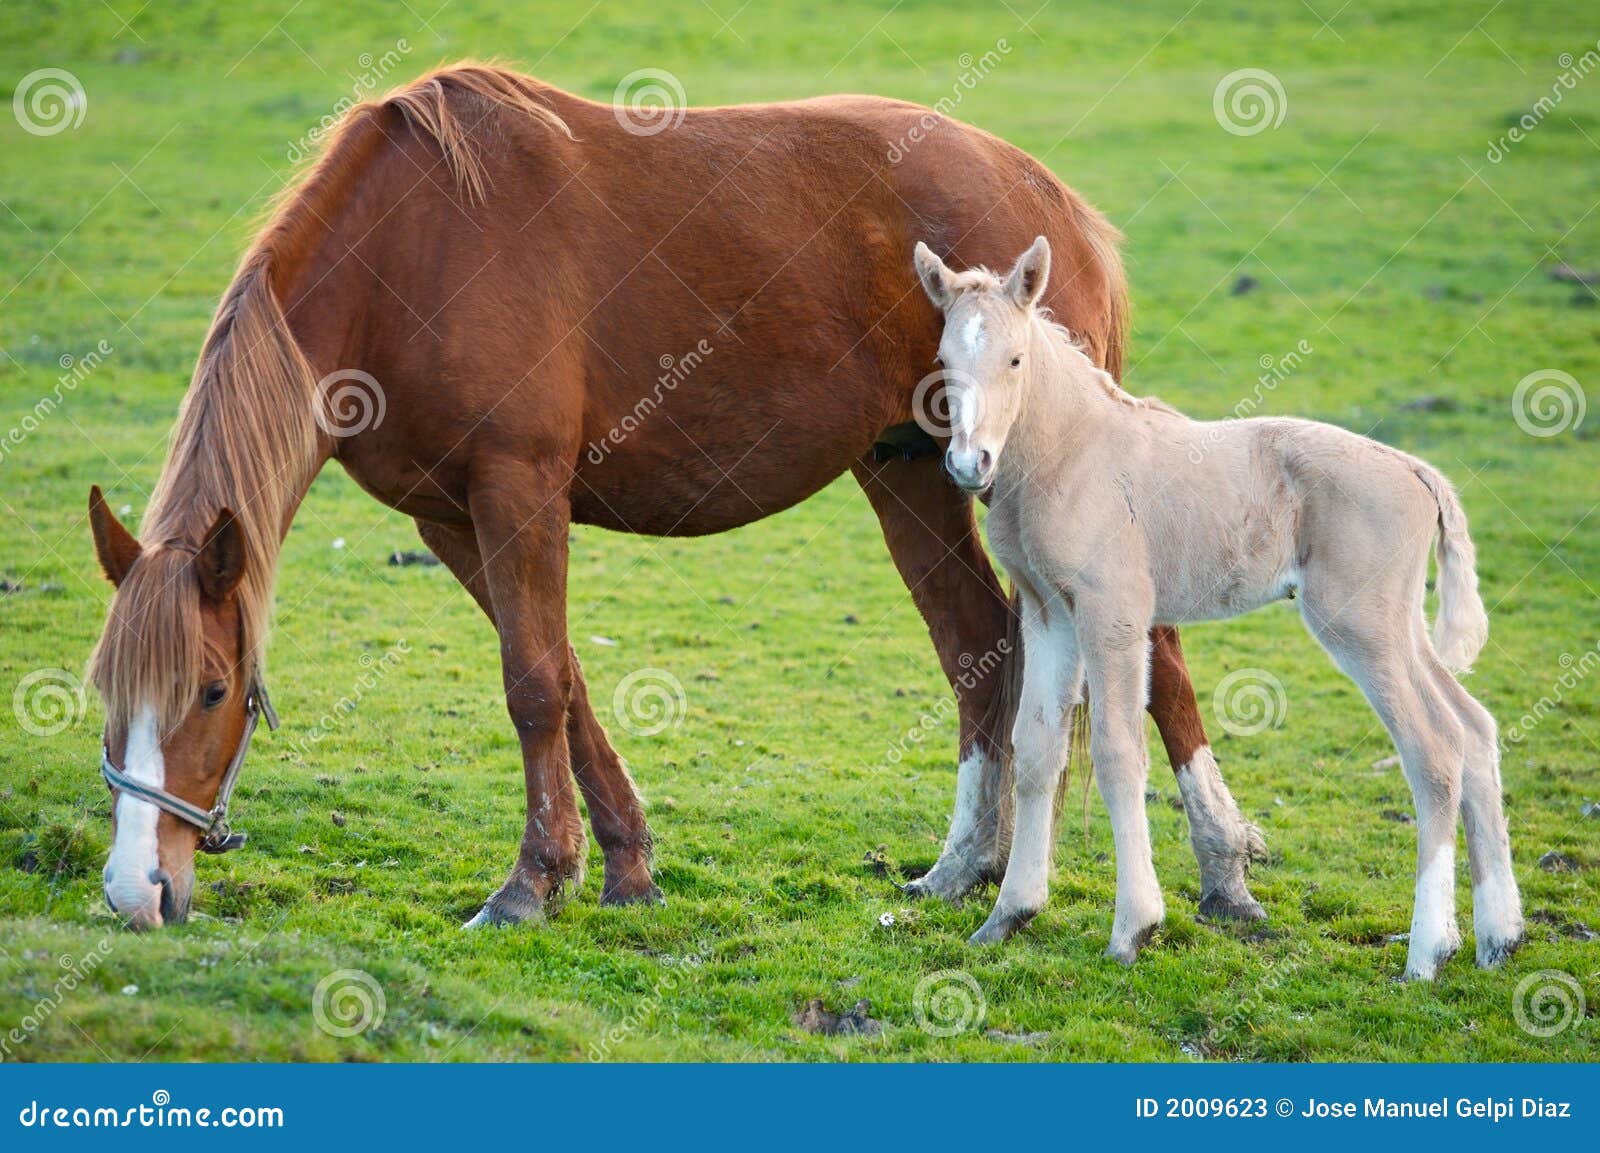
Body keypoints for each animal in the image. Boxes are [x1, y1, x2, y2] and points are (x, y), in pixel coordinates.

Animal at [87, 63, 1260, 927]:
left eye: (210, 690)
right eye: (106, 693)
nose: (137, 890)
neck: (409, 254)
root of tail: (1052, 200)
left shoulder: (518, 490)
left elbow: (532, 686)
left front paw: (528, 884)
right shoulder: (453, 516)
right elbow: (562, 676)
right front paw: (621, 865)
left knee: (1155, 658)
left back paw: (1220, 871)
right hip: (908, 477)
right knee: (981, 651)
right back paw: (969, 868)